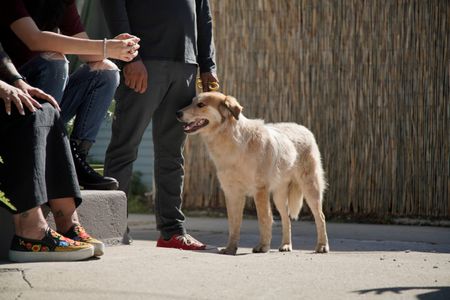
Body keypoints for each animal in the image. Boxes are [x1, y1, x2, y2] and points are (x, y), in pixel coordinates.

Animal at [177, 92, 330, 255]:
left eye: (201, 105)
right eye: (191, 102)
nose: (177, 113)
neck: (232, 142)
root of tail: (304, 128)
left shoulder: (260, 190)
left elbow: (264, 219)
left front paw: (263, 246)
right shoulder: (232, 193)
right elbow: (234, 224)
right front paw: (230, 248)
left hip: (310, 188)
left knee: (320, 217)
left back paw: (322, 246)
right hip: (279, 196)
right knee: (286, 218)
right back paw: (286, 245)